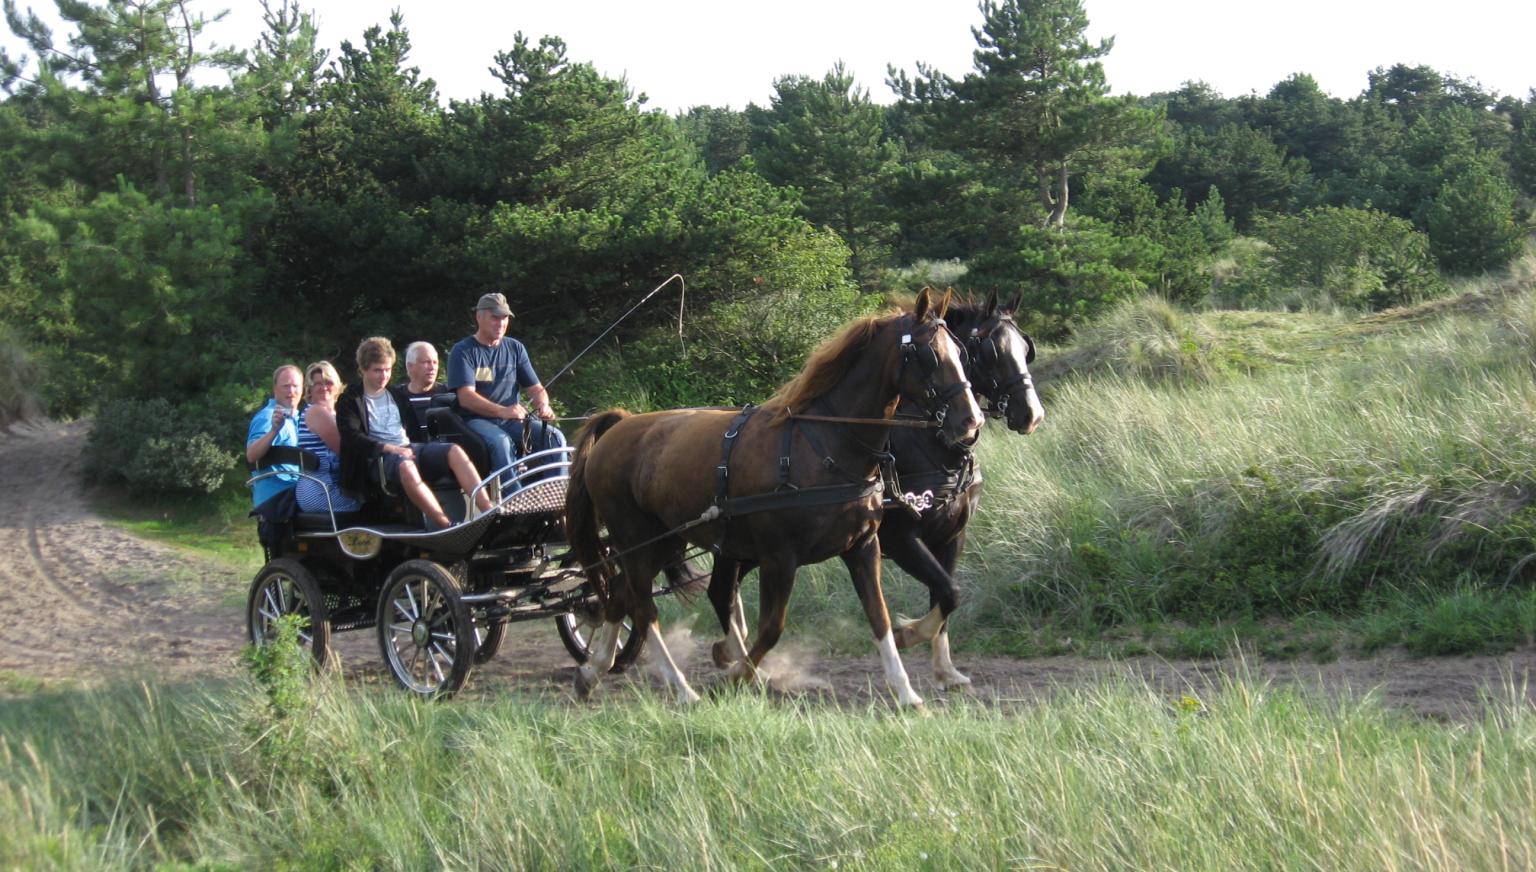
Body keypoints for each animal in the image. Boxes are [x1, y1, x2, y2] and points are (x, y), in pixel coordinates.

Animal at [568, 290, 983, 706]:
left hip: (668, 541)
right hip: (638, 540)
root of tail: (619, 427)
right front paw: (736, 676)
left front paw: (906, 689)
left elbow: (881, 616)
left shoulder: (864, 547)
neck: (822, 445)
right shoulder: (780, 557)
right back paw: (682, 687)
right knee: (643, 606)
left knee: (622, 596)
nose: (971, 421)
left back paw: (592, 671)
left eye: (961, 352)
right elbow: (771, 628)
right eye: (930, 355)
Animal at [706, 290, 1044, 690]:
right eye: (990, 350)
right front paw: (906, 634)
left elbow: (944, 597)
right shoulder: (900, 539)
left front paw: (945, 669)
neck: (928, 444)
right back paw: (735, 654)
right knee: (721, 589)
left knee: (724, 589)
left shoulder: (951, 536)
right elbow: (949, 593)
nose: (1033, 414)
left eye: (1025, 348)